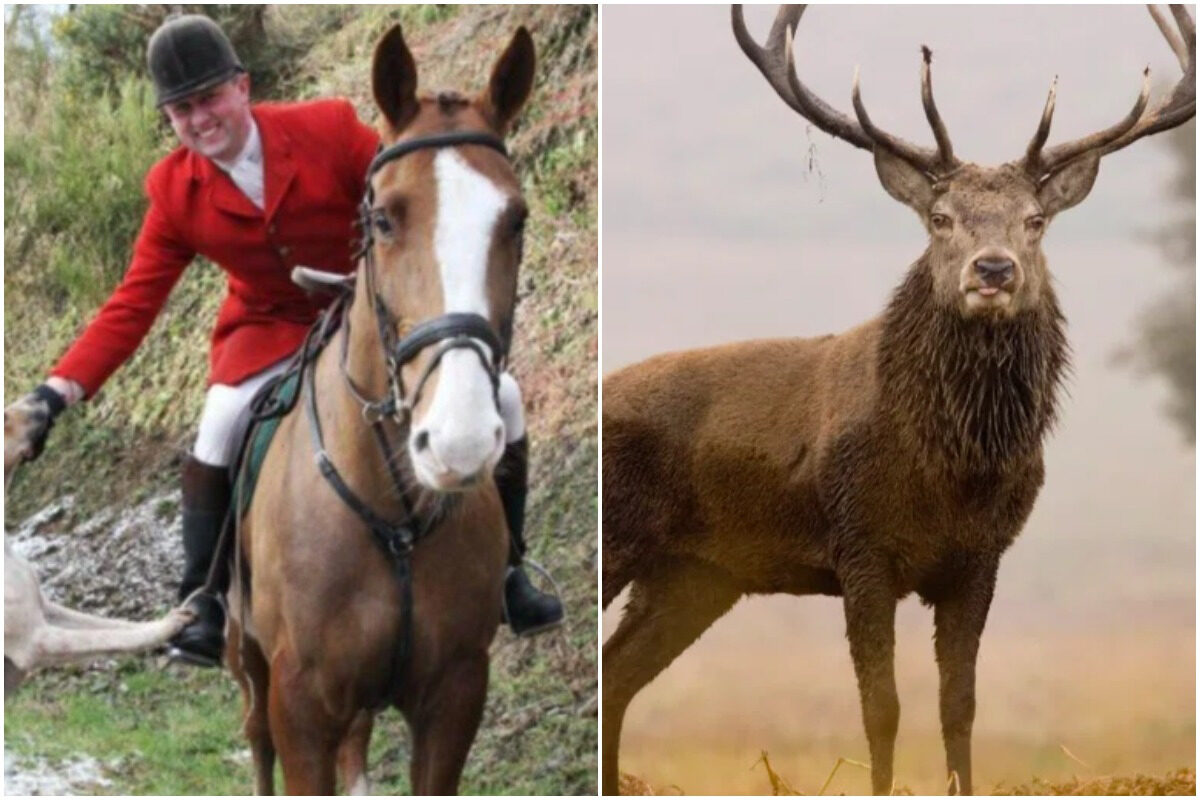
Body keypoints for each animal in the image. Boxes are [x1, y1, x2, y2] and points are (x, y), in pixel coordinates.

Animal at [601, 5, 1195, 795]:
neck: (953, 471)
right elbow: (881, 708)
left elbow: (959, 704)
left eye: (1035, 219)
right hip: (628, 543)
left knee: (616, 676)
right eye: (940, 217)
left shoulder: (981, 556)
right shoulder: (860, 545)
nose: (993, 269)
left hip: (695, 574)